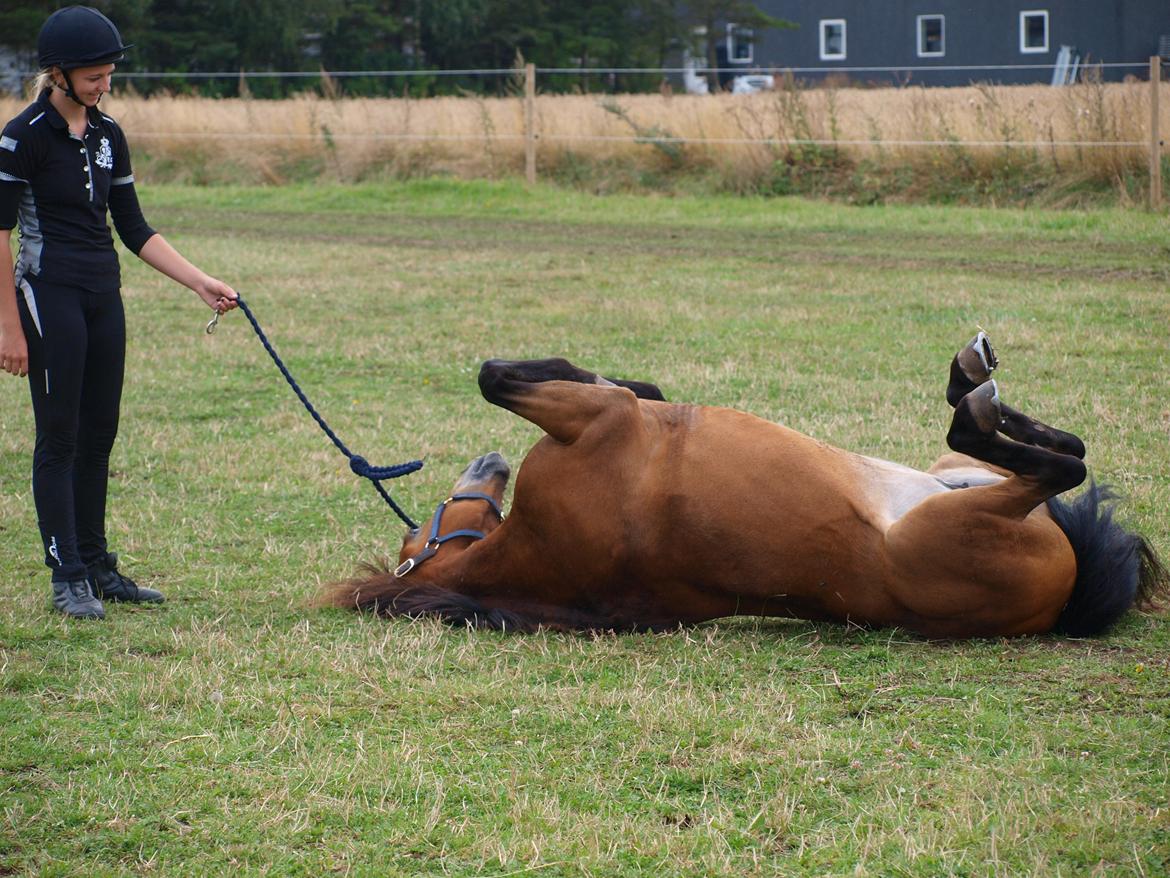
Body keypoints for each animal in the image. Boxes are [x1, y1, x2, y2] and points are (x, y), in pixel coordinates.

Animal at [318, 337, 1160, 641]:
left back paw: (977, 385)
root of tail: (1060, 602)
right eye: (418, 533)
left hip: (958, 480)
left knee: (1058, 452)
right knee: (1057, 462)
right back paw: (972, 392)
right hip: (969, 510)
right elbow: (497, 375)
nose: (488, 463)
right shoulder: (601, 420)